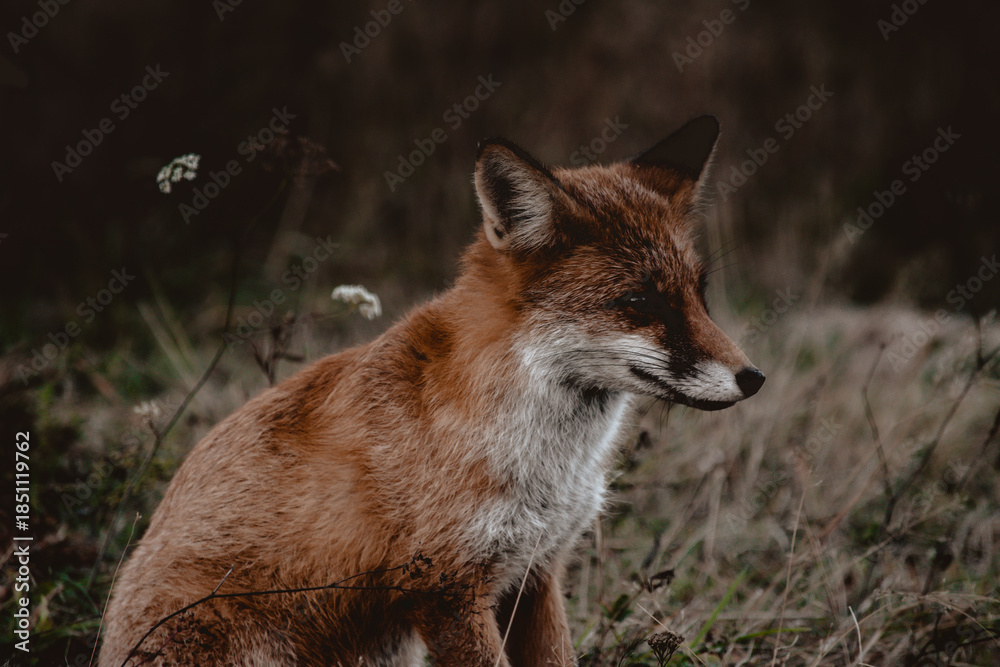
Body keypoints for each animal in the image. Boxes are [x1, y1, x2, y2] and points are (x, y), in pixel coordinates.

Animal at [99, 115, 764, 667]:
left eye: (699, 295)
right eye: (640, 302)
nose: (753, 378)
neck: (545, 461)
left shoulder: (534, 573)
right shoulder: (445, 590)